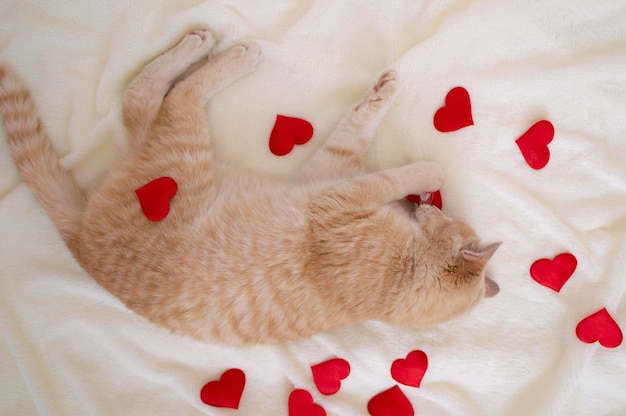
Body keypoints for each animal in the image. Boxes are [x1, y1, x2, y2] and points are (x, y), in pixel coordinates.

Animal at [0, 29, 500, 344]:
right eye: (450, 215)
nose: (432, 208)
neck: (400, 277)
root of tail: (81, 246)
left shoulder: (333, 192)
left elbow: (384, 170)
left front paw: (427, 170)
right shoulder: (334, 177)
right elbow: (365, 134)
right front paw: (388, 99)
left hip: (176, 155)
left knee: (163, 100)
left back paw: (225, 56)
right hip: (171, 154)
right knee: (144, 99)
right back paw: (207, 48)